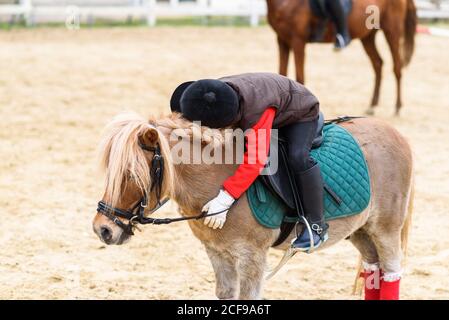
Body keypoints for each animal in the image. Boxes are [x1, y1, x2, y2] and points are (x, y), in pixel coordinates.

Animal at [93, 112, 414, 300]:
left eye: (132, 174)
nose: (102, 229)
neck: (218, 181)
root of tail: (395, 132)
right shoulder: (217, 253)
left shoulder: (252, 257)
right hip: (361, 231)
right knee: (373, 271)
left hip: (385, 229)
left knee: (391, 271)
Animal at [266, 0, 416, 115]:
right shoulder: (282, 40)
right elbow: (281, 75)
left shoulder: (298, 41)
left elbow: (299, 78)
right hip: (367, 36)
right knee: (378, 64)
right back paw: (372, 106)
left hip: (392, 30)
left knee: (397, 67)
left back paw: (397, 107)